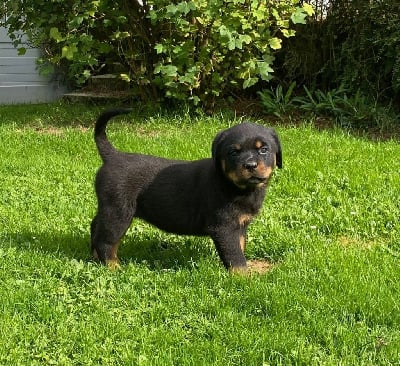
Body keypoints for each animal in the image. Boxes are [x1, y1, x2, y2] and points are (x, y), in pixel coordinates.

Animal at [90, 108, 282, 272]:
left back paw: (94, 258)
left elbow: (240, 246)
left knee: (96, 226)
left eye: (264, 149)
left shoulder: (240, 225)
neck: (235, 186)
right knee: (106, 241)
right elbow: (235, 257)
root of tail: (113, 156)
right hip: (118, 211)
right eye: (233, 152)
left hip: (108, 208)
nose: (250, 165)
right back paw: (113, 267)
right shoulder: (224, 227)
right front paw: (243, 278)